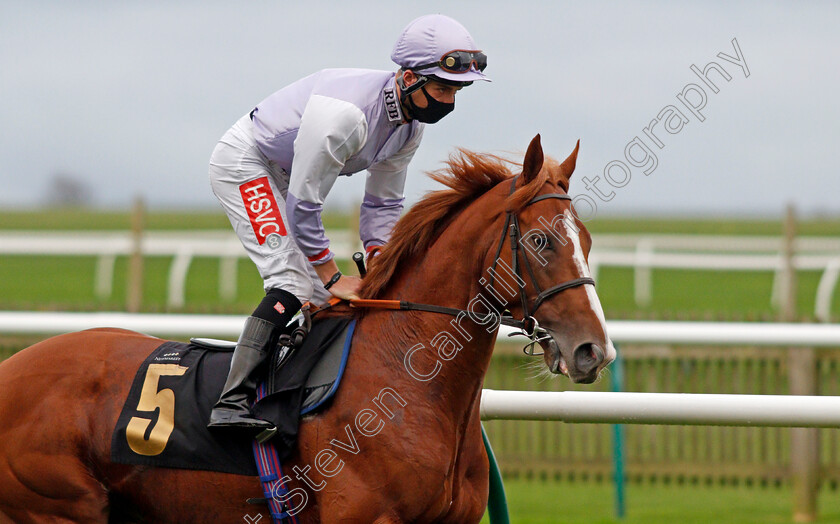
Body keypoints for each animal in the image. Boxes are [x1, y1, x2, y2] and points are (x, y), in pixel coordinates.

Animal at [0, 136, 612, 524]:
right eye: (539, 241)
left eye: (585, 238)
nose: (594, 350)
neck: (405, 380)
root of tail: (13, 367)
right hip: (56, 508)